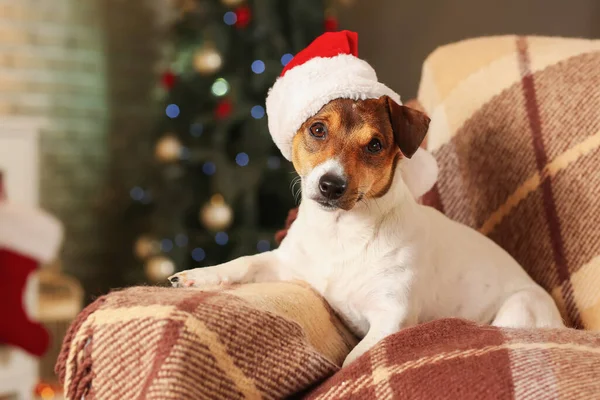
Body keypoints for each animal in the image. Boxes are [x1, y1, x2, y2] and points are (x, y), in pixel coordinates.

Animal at [168, 95, 564, 368]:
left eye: (375, 145)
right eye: (317, 129)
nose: (331, 185)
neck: (340, 234)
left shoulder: (392, 317)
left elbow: (352, 360)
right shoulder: (286, 264)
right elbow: (245, 262)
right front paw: (198, 275)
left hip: (519, 307)